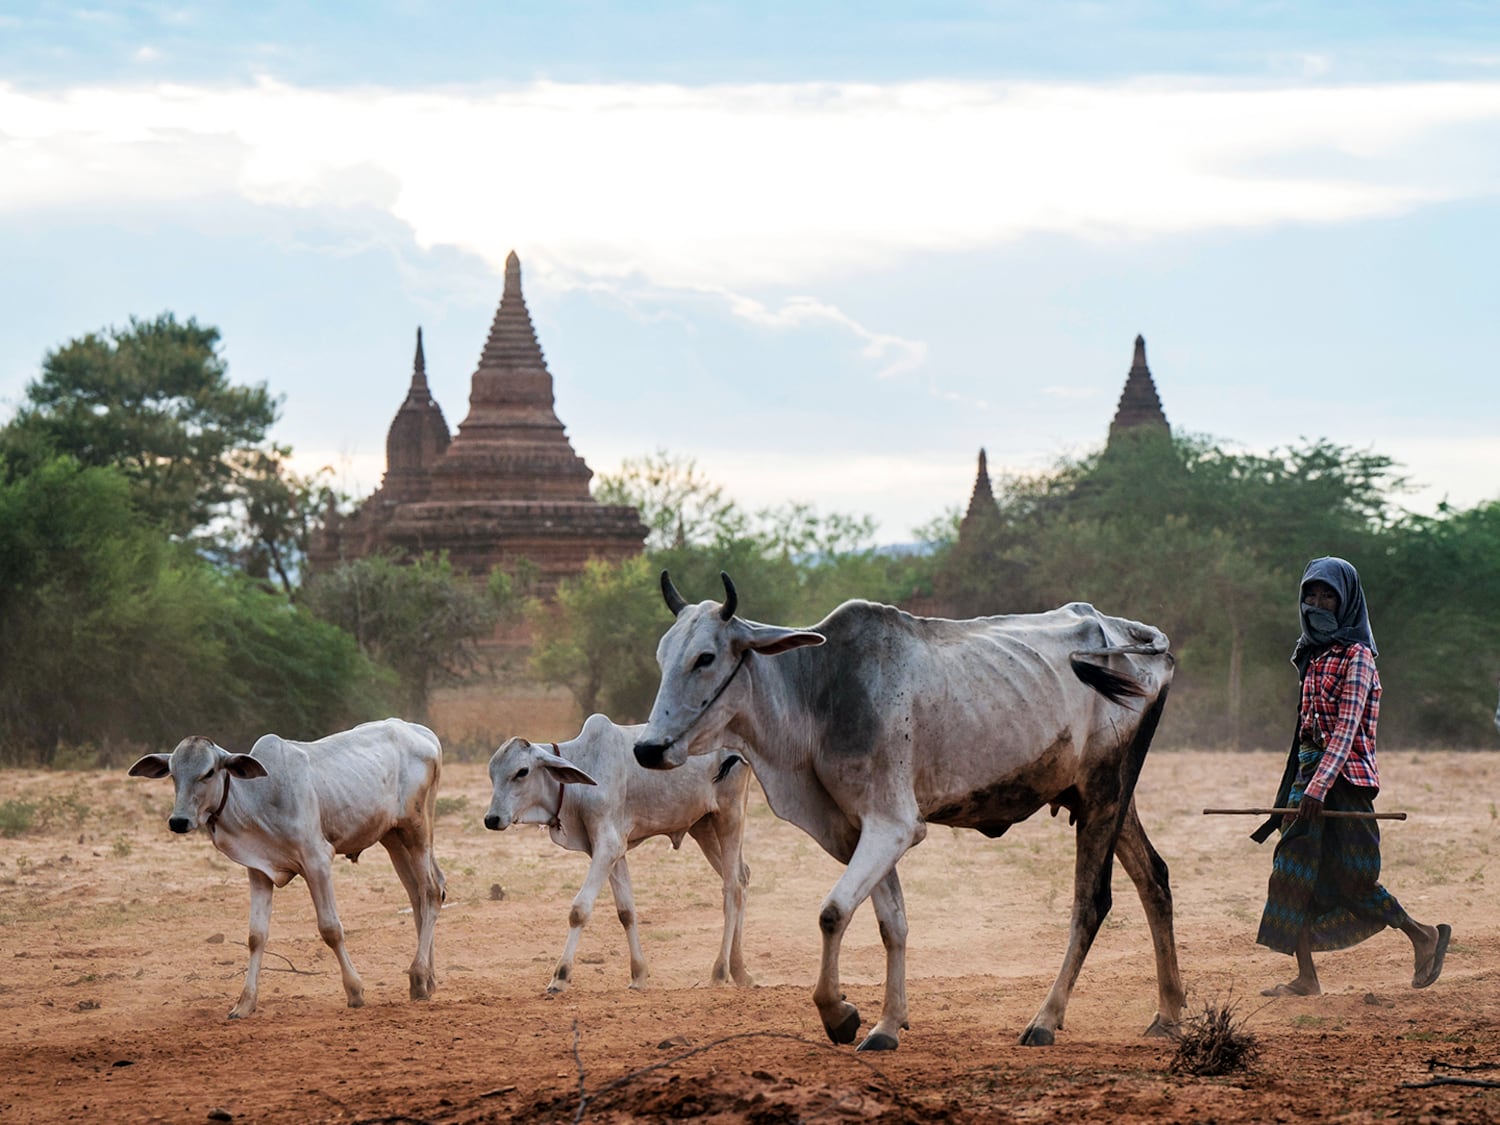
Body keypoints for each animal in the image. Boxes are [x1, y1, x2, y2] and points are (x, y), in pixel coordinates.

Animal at [127, 723, 444, 1020]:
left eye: (208, 772)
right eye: (172, 773)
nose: (179, 821)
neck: (259, 795)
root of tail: (421, 731)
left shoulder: (317, 860)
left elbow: (330, 929)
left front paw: (354, 990)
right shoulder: (258, 871)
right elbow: (256, 936)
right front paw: (244, 1003)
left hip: (417, 828)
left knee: (431, 890)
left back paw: (418, 976)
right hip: (392, 837)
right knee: (417, 894)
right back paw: (428, 979)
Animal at [486, 717, 756, 990]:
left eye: (522, 772)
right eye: (492, 774)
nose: (491, 819)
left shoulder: (608, 846)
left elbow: (579, 910)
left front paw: (560, 977)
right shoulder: (613, 853)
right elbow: (626, 912)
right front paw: (638, 975)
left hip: (730, 814)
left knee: (732, 888)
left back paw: (720, 971)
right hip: (703, 827)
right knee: (742, 877)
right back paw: (740, 971)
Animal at [633, 576, 1182, 1056]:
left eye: (705, 658)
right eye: (661, 656)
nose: (647, 749)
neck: (818, 694)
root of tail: (1126, 630)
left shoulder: (894, 826)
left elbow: (833, 912)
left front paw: (839, 1014)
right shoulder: (860, 830)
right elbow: (891, 924)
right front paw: (887, 1024)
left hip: (1103, 792)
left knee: (1091, 902)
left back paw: (1046, 1019)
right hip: (1106, 800)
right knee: (1153, 879)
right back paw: (1169, 1015)